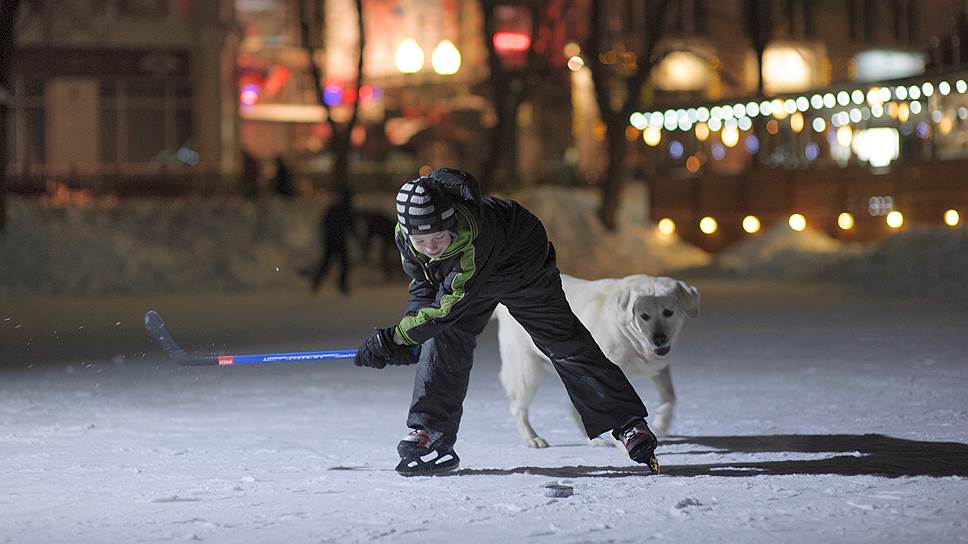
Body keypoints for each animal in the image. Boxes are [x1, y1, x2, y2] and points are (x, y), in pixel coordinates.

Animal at [500, 274, 696, 448]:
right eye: (644, 316)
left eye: (668, 312)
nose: (659, 339)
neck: (628, 336)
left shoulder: (659, 367)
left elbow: (670, 396)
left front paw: (662, 422)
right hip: (527, 373)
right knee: (518, 408)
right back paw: (533, 439)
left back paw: (594, 441)